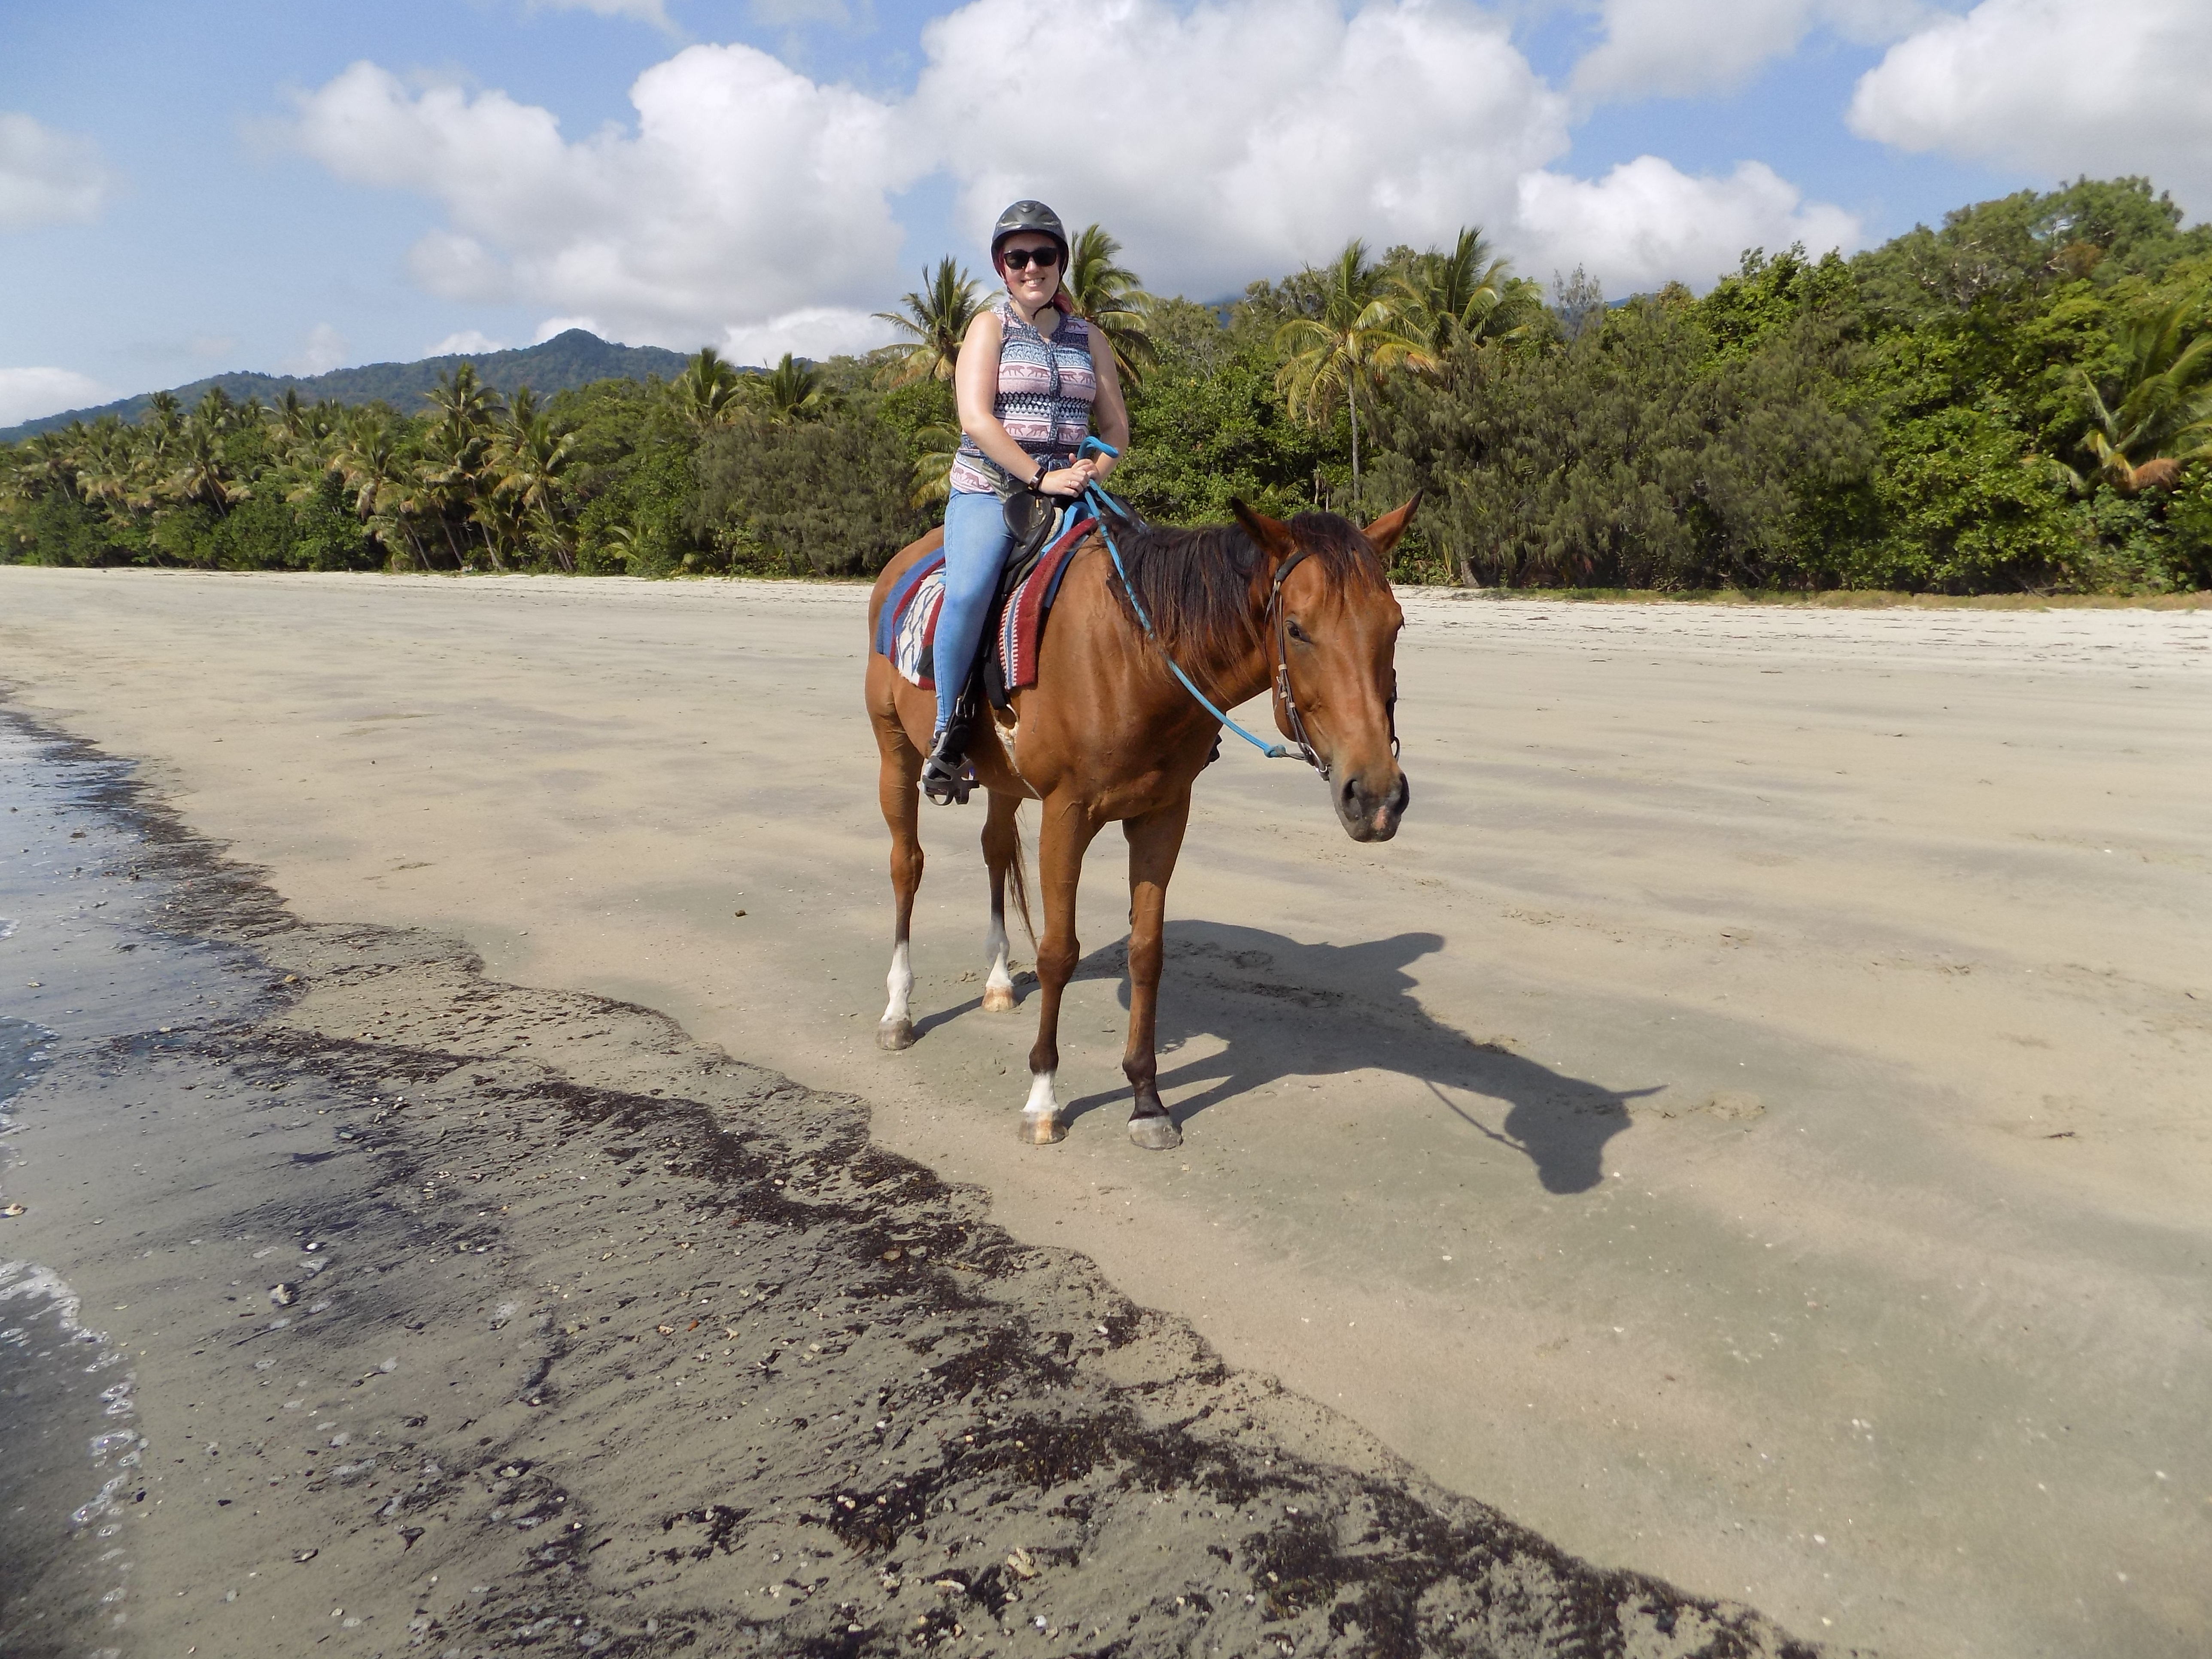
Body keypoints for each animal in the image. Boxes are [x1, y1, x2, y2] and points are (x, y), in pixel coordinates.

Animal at [863, 498, 1416, 1141]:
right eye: (1297, 629)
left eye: (1395, 625)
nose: (1376, 795)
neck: (1136, 660)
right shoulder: (1067, 814)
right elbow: (1058, 952)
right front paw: (1042, 1099)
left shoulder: (1163, 815)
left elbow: (1147, 952)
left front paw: (1147, 1101)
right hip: (895, 749)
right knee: (907, 865)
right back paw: (898, 1012)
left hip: (1004, 780)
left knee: (995, 848)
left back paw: (998, 982)